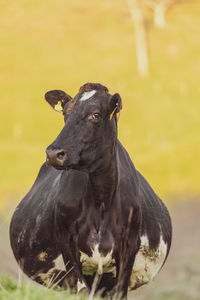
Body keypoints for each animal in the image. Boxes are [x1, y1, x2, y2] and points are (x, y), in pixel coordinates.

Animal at [9, 83, 172, 298]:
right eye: (65, 114)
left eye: (95, 115)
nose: (53, 153)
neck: (101, 200)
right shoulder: (67, 244)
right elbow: (81, 289)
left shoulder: (130, 246)